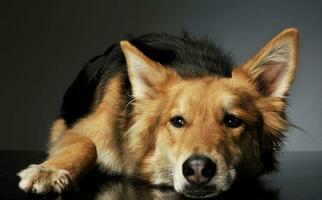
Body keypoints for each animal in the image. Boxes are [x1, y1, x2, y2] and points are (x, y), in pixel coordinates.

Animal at [18, 28, 300, 198]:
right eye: (177, 121)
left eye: (232, 120)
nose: (198, 168)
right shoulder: (78, 130)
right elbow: (87, 145)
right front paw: (50, 171)